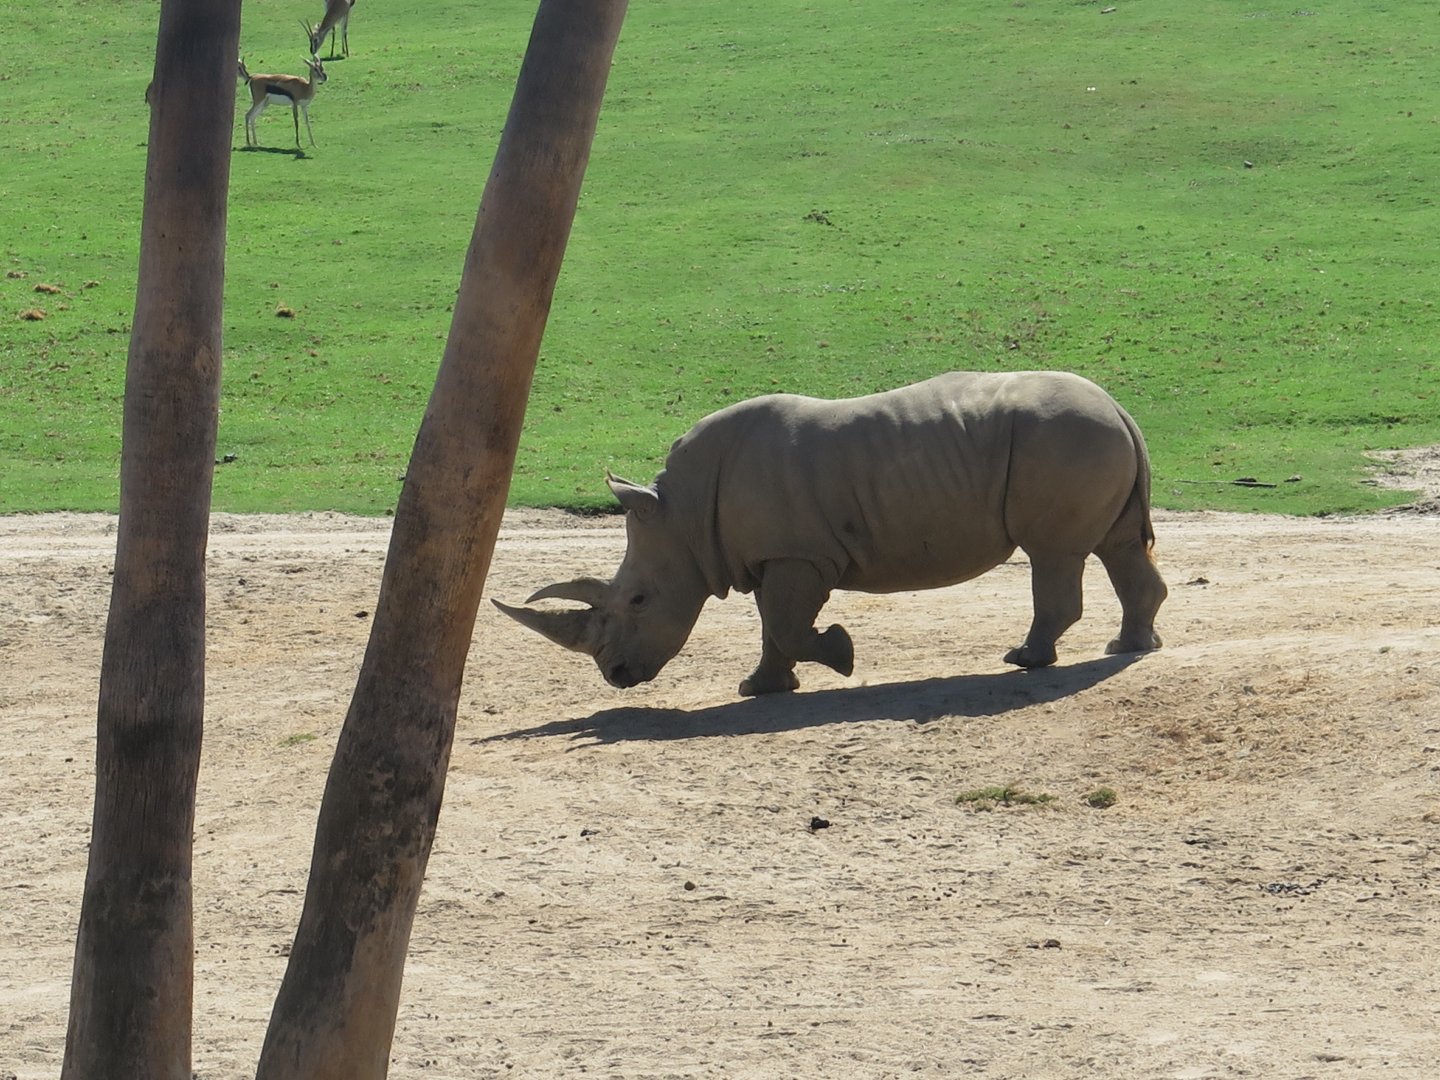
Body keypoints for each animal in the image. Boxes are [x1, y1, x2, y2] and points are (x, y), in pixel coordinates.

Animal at [495, 370, 1166, 697]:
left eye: (638, 600)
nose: (614, 676)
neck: (682, 515)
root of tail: (1120, 408)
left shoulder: (798, 554)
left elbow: (789, 625)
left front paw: (841, 657)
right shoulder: (772, 557)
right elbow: (773, 628)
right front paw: (759, 688)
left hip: (1066, 438)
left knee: (1053, 553)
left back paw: (1026, 660)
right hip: (1084, 438)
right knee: (1116, 544)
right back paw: (1127, 648)